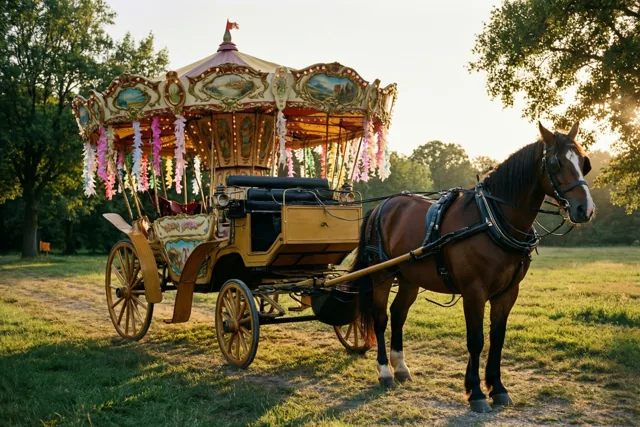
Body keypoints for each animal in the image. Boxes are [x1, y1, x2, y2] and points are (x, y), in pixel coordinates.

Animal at [351, 122, 594, 412]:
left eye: (584, 162)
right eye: (556, 163)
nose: (585, 209)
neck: (491, 220)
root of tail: (382, 206)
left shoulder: (507, 293)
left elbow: (497, 339)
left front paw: (498, 389)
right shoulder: (474, 291)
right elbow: (476, 340)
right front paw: (476, 393)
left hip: (409, 278)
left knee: (398, 314)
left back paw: (401, 368)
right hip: (382, 273)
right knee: (380, 318)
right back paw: (385, 372)